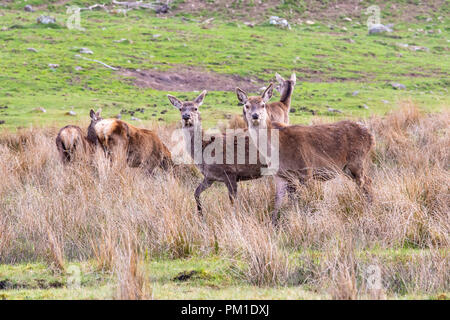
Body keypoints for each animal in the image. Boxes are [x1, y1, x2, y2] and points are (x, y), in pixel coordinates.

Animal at [237, 84, 374, 226]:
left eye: (263, 105)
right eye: (246, 105)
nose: (255, 116)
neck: (276, 150)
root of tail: (370, 136)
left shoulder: (306, 169)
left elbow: (309, 199)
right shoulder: (280, 175)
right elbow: (279, 200)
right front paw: (274, 223)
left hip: (356, 161)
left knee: (366, 182)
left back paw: (367, 208)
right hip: (346, 168)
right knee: (365, 182)